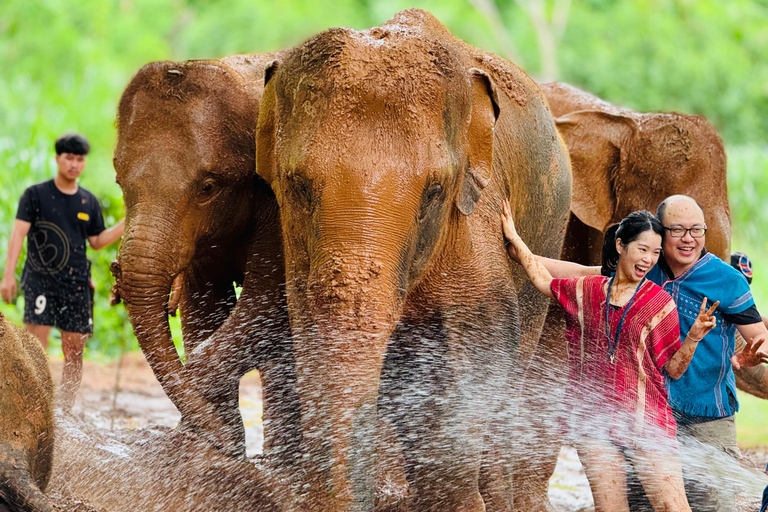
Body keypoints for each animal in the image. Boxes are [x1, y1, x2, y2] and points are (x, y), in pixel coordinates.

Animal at [111, 53, 304, 464]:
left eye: (208, 187)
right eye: (119, 182)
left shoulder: (284, 204)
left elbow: (267, 302)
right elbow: (205, 305)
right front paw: (212, 444)